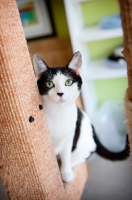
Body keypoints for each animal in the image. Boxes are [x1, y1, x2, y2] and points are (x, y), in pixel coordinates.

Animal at [33, 51, 96, 183]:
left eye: (68, 82)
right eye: (49, 84)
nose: (60, 93)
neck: (59, 112)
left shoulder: (69, 136)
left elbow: (66, 155)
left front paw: (66, 172)